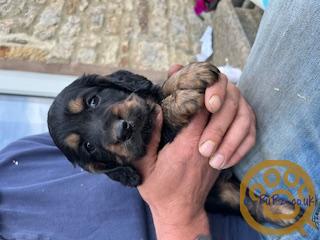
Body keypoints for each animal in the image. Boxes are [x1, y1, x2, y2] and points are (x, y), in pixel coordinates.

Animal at [47, 62, 300, 227]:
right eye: (89, 147)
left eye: (93, 100)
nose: (123, 130)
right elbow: (164, 115)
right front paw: (181, 102)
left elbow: (160, 89)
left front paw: (191, 74)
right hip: (221, 195)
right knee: (246, 204)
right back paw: (285, 211)